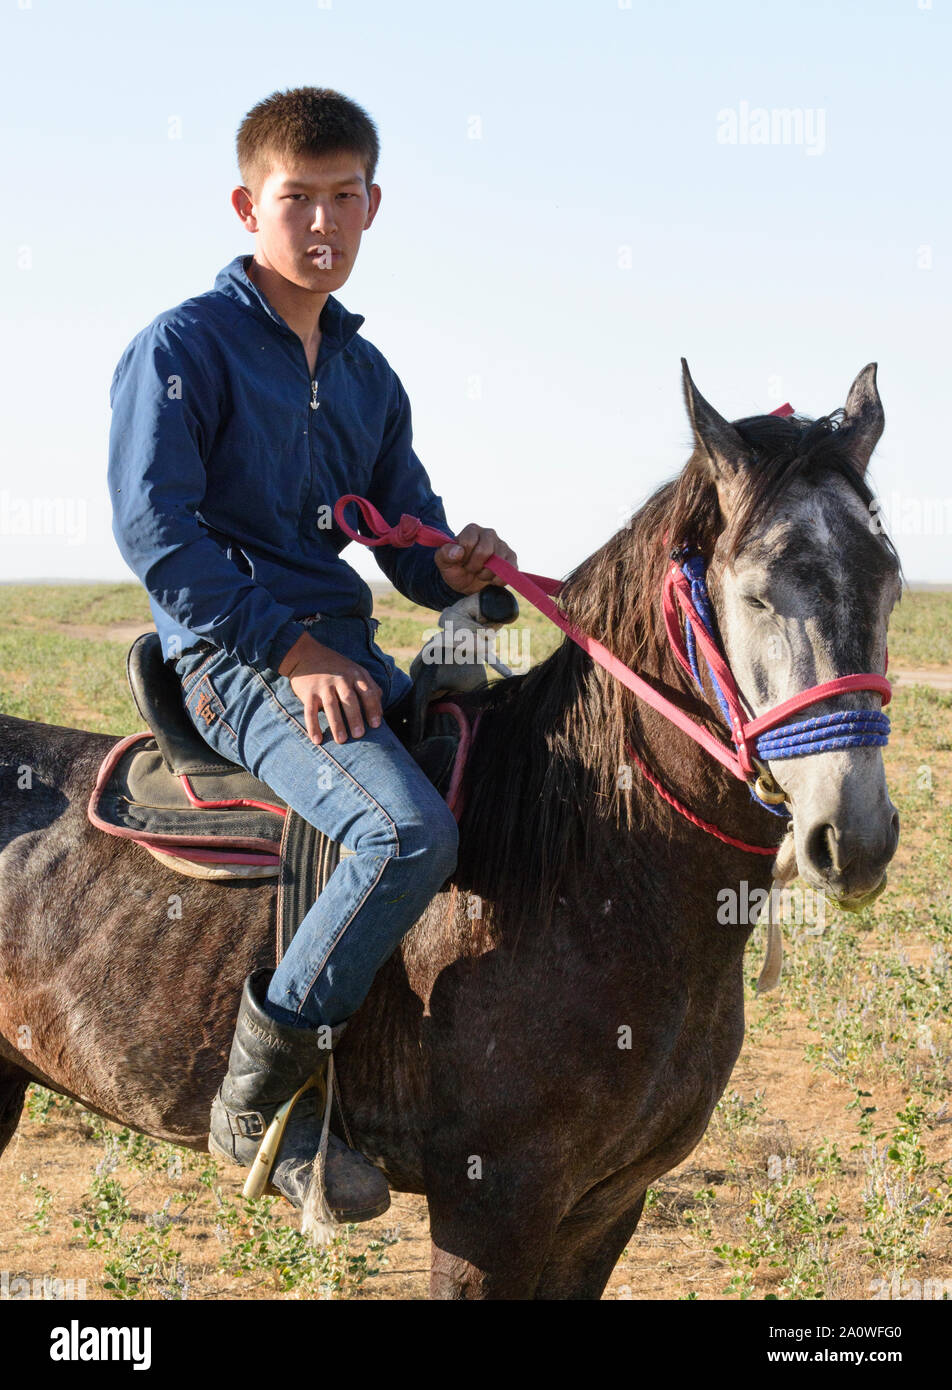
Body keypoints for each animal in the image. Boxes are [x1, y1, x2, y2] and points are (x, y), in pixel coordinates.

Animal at [0, 364, 900, 1295]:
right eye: (756, 593)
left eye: (891, 583)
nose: (854, 835)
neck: (589, 868)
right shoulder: (490, 1205)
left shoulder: (608, 1208)